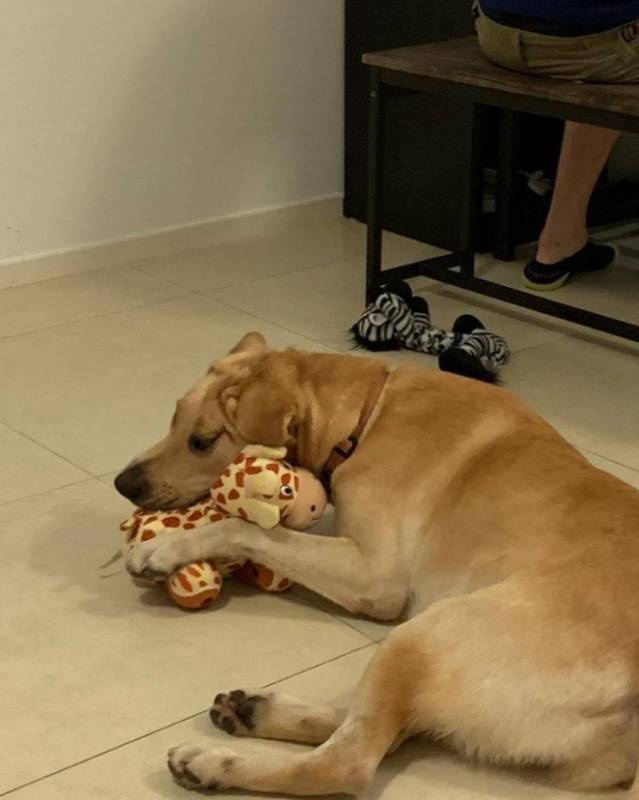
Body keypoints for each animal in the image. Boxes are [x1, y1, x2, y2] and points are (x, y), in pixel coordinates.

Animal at [117, 331, 639, 796]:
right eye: (173, 419)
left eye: (202, 441)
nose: (124, 483)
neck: (365, 416)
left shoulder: (375, 577)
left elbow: (245, 528)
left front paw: (165, 549)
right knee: (395, 728)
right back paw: (252, 712)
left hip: (422, 634)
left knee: (348, 761)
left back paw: (212, 763)